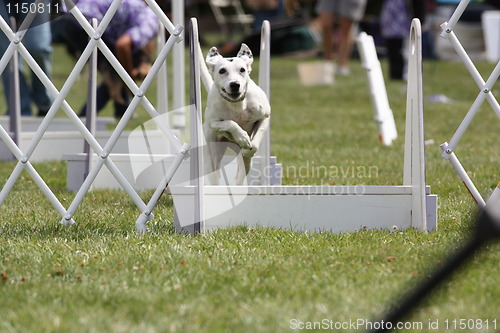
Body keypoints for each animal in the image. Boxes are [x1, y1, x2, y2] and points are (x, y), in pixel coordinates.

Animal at [202, 43, 272, 184]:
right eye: (222, 71)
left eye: (242, 70)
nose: (235, 84)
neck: (237, 105)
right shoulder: (213, 122)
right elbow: (230, 123)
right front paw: (243, 137)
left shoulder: (264, 117)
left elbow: (256, 140)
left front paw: (249, 148)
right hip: (212, 155)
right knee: (214, 172)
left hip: (245, 165)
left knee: (240, 174)